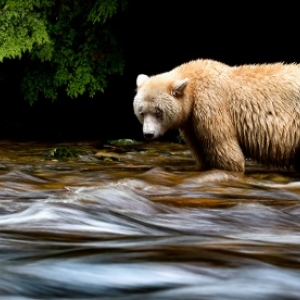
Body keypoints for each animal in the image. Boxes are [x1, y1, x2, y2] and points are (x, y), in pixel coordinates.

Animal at [133, 58, 300, 172]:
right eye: (142, 112)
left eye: (158, 111)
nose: (148, 134)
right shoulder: (191, 123)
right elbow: (201, 152)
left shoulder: (211, 103)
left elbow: (224, 150)